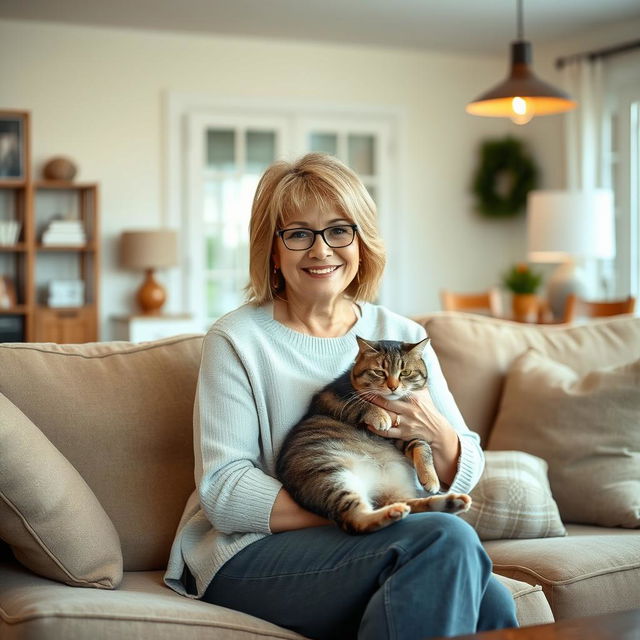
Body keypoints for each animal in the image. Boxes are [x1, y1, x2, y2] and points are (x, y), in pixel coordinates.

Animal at [276, 336, 470, 536]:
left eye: (405, 372)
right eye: (379, 372)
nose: (393, 387)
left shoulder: (402, 433)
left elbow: (422, 446)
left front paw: (431, 479)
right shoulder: (336, 399)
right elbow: (361, 404)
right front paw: (380, 416)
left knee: (405, 504)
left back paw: (450, 502)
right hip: (330, 475)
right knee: (354, 520)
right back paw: (394, 513)